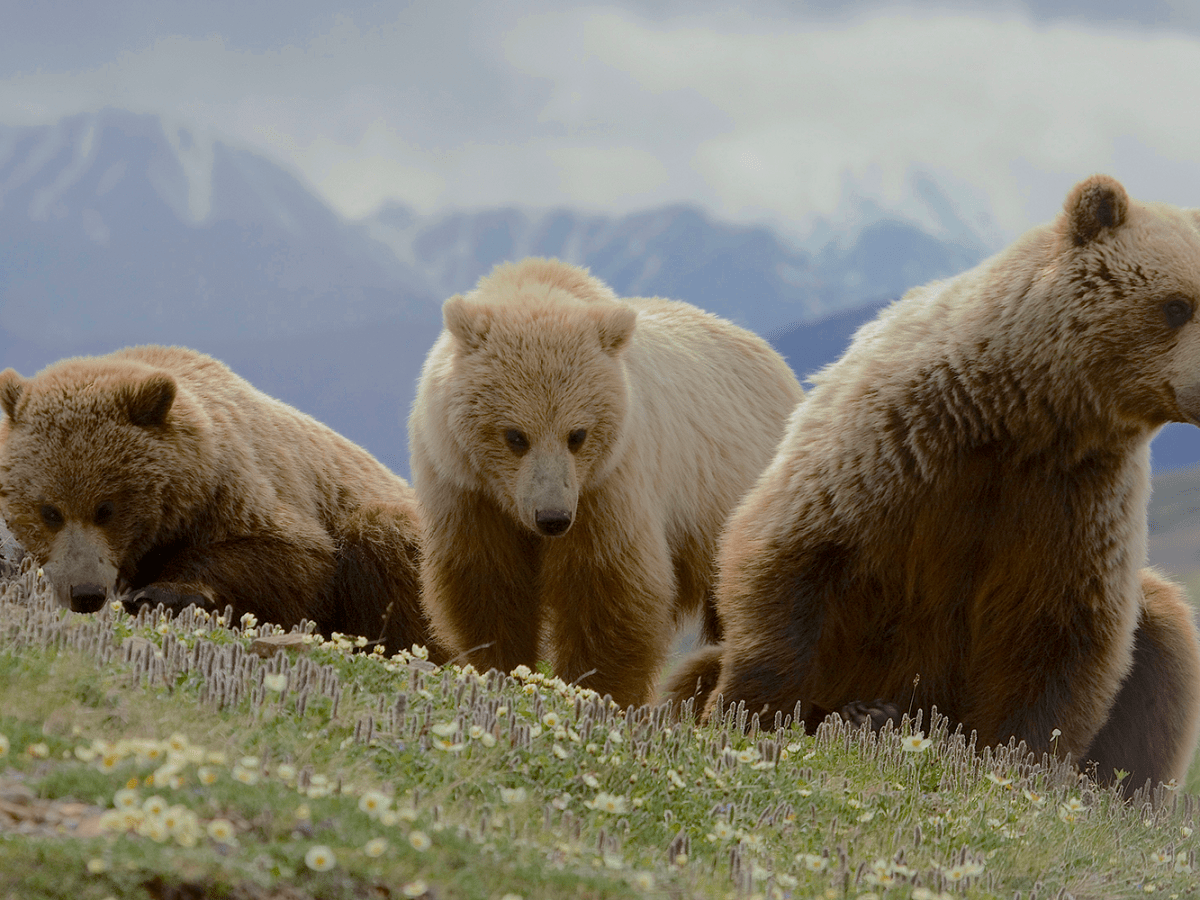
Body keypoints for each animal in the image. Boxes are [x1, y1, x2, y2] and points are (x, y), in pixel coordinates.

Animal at [0, 340, 444, 657]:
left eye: (105, 508)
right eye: (50, 511)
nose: (86, 593)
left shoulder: (241, 486)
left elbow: (292, 555)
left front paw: (160, 593)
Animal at [408, 256, 801, 710]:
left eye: (577, 434)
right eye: (515, 436)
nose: (552, 518)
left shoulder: (608, 486)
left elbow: (606, 591)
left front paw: (594, 690)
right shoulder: (466, 489)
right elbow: (486, 584)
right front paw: (498, 669)